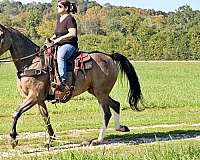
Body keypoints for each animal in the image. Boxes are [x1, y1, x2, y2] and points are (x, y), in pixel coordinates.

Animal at [0, 24, 143, 149]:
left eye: (0, 35)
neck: (33, 64)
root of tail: (110, 57)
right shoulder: (39, 100)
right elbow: (46, 118)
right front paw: (50, 141)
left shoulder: (33, 97)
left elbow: (16, 113)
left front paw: (13, 139)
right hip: (96, 91)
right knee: (116, 104)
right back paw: (120, 128)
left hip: (100, 93)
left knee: (107, 113)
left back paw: (98, 140)